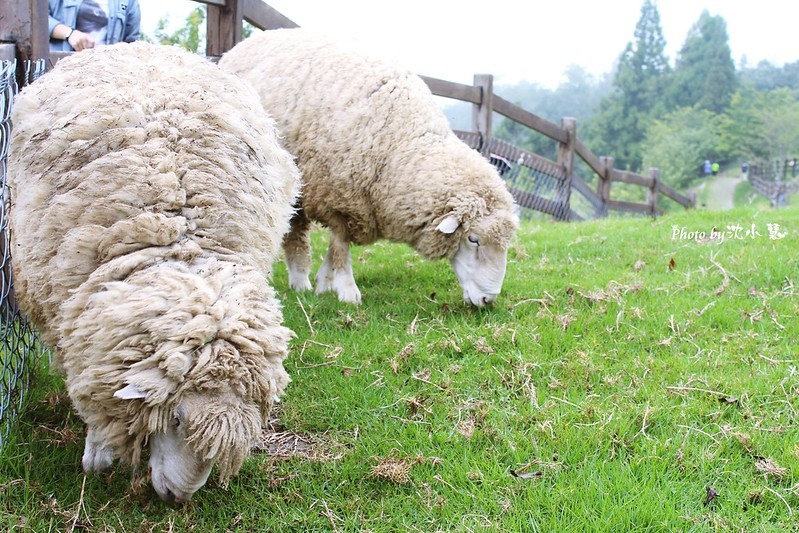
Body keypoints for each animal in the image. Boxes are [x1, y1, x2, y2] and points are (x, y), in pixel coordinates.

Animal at [7, 42, 302, 502]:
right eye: (176, 419)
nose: (177, 499)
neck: (179, 239)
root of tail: (143, 45)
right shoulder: (67, 317)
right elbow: (90, 382)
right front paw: (98, 451)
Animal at [219, 27, 520, 306]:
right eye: (473, 239)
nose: (488, 300)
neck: (401, 146)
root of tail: (244, 44)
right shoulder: (338, 195)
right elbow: (341, 244)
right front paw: (346, 290)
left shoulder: (356, 204)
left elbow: (335, 247)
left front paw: (325, 283)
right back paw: (295, 280)